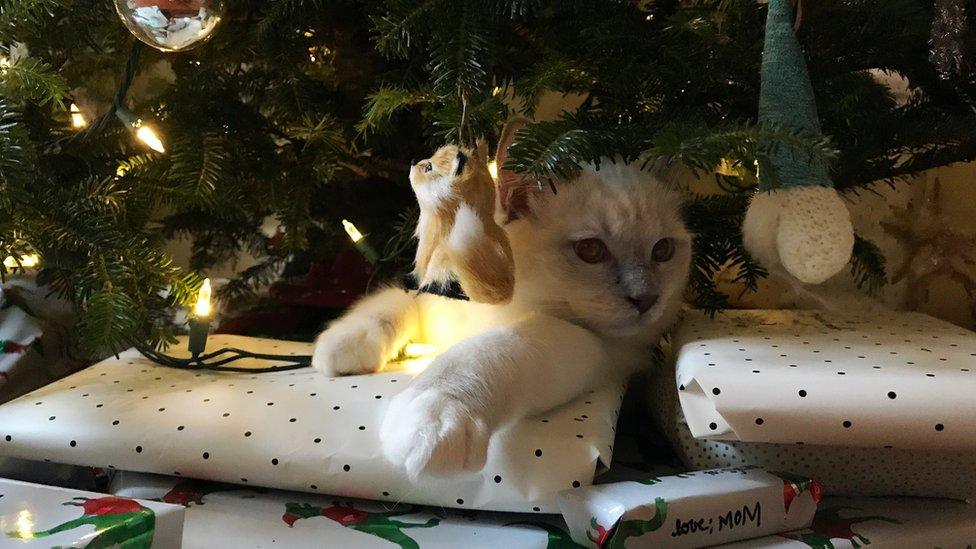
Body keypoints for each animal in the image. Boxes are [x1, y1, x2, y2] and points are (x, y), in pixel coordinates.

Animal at [312, 119, 692, 476]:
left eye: (663, 251)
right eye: (591, 250)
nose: (647, 299)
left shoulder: (593, 345)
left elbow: (483, 353)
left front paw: (433, 413)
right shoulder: (432, 294)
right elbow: (389, 302)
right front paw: (339, 343)